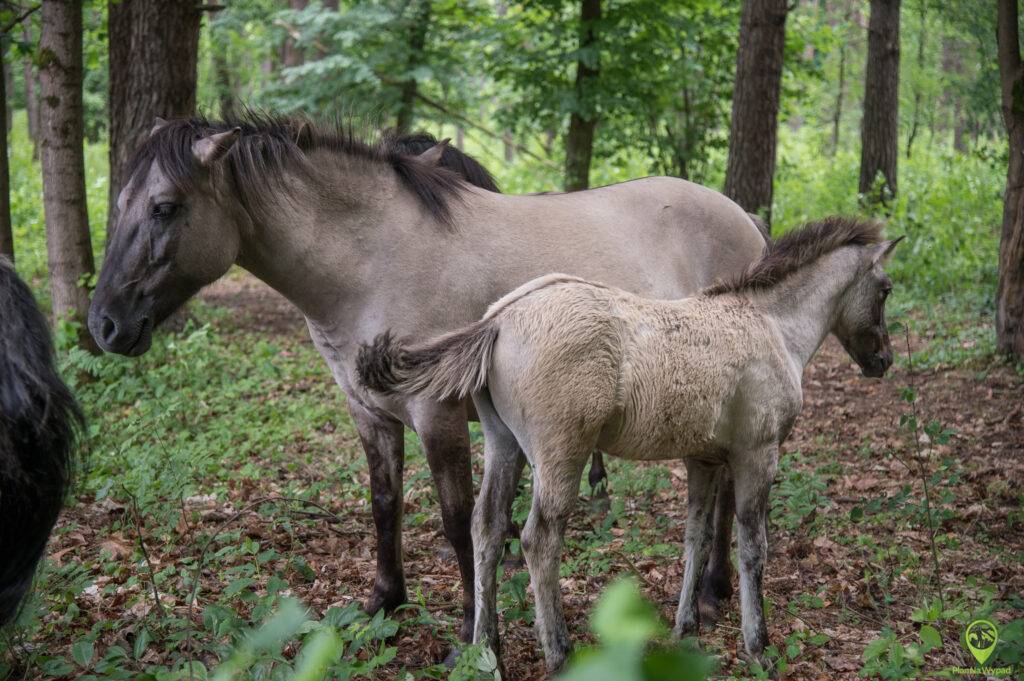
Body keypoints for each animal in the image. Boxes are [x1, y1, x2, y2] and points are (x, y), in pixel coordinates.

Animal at [88, 114, 765, 639]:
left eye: (165, 207)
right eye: (119, 204)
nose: (105, 325)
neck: (370, 261)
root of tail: (744, 219)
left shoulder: (437, 416)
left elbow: (458, 520)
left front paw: (469, 628)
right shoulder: (370, 414)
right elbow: (384, 505)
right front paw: (384, 603)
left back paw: (712, 592)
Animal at [362, 218, 905, 667]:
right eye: (885, 289)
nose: (883, 360)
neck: (771, 325)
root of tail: (497, 320)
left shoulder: (704, 459)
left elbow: (695, 537)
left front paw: (686, 630)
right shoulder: (758, 454)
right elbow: (754, 547)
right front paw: (759, 647)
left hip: (504, 446)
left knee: (487, 529)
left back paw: (487, 652)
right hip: (560, 457)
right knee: (539, 540)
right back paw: (559, 654)